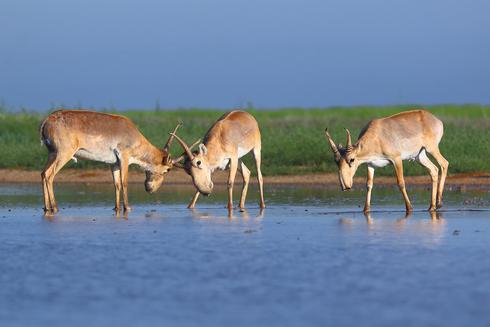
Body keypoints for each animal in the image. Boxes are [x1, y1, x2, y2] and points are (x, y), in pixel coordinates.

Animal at [38, 110, 180, 215]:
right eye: (167, 170)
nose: (150, 189)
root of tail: (47, 120)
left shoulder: (114, 164)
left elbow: (116, 184)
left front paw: (117, 208)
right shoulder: (124, 159)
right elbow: (124, 182)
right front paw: (127, 208)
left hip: (52, 154)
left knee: (43, 173)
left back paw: (46, 208)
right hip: (63, 154)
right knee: (50, 175)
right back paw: (55, 208)